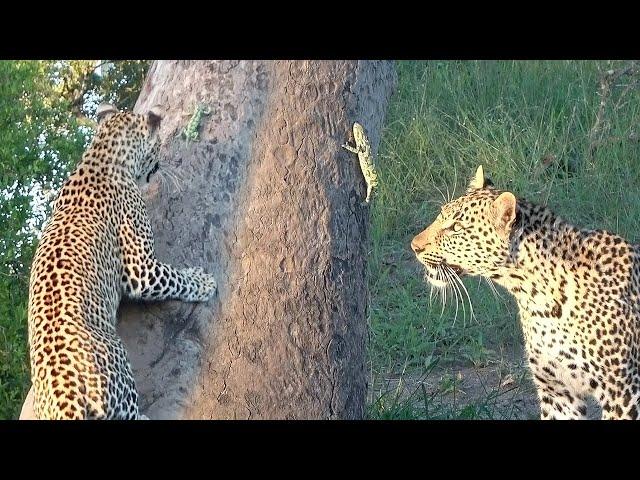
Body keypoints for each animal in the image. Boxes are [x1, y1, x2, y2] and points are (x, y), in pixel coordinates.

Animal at [26, 103, 218, 418]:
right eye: (158, 146)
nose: (160, 164)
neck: (101, 156)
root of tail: (67, 405)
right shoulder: (142, 269)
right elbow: (175, 278)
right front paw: (204, 282)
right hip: (118, 365)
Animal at [412, 166, 636, 420]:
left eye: (456, 228)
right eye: (441, 215)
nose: (414, 245)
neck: (536, 296)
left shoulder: (621, 391)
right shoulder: (557, 393)